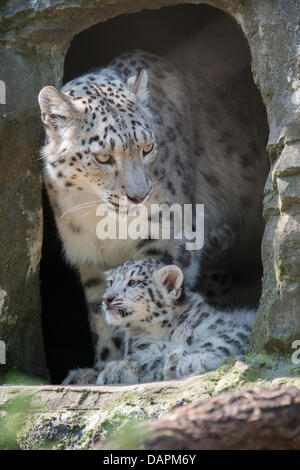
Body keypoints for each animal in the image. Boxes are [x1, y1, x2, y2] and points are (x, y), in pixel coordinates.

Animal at [39, 49, 268, 384]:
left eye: (147, 147)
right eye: (103, 156)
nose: (139, 195)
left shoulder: (164, 240)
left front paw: (125, 364)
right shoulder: (90, 257)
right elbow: (101, 316)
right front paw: (101, 366)